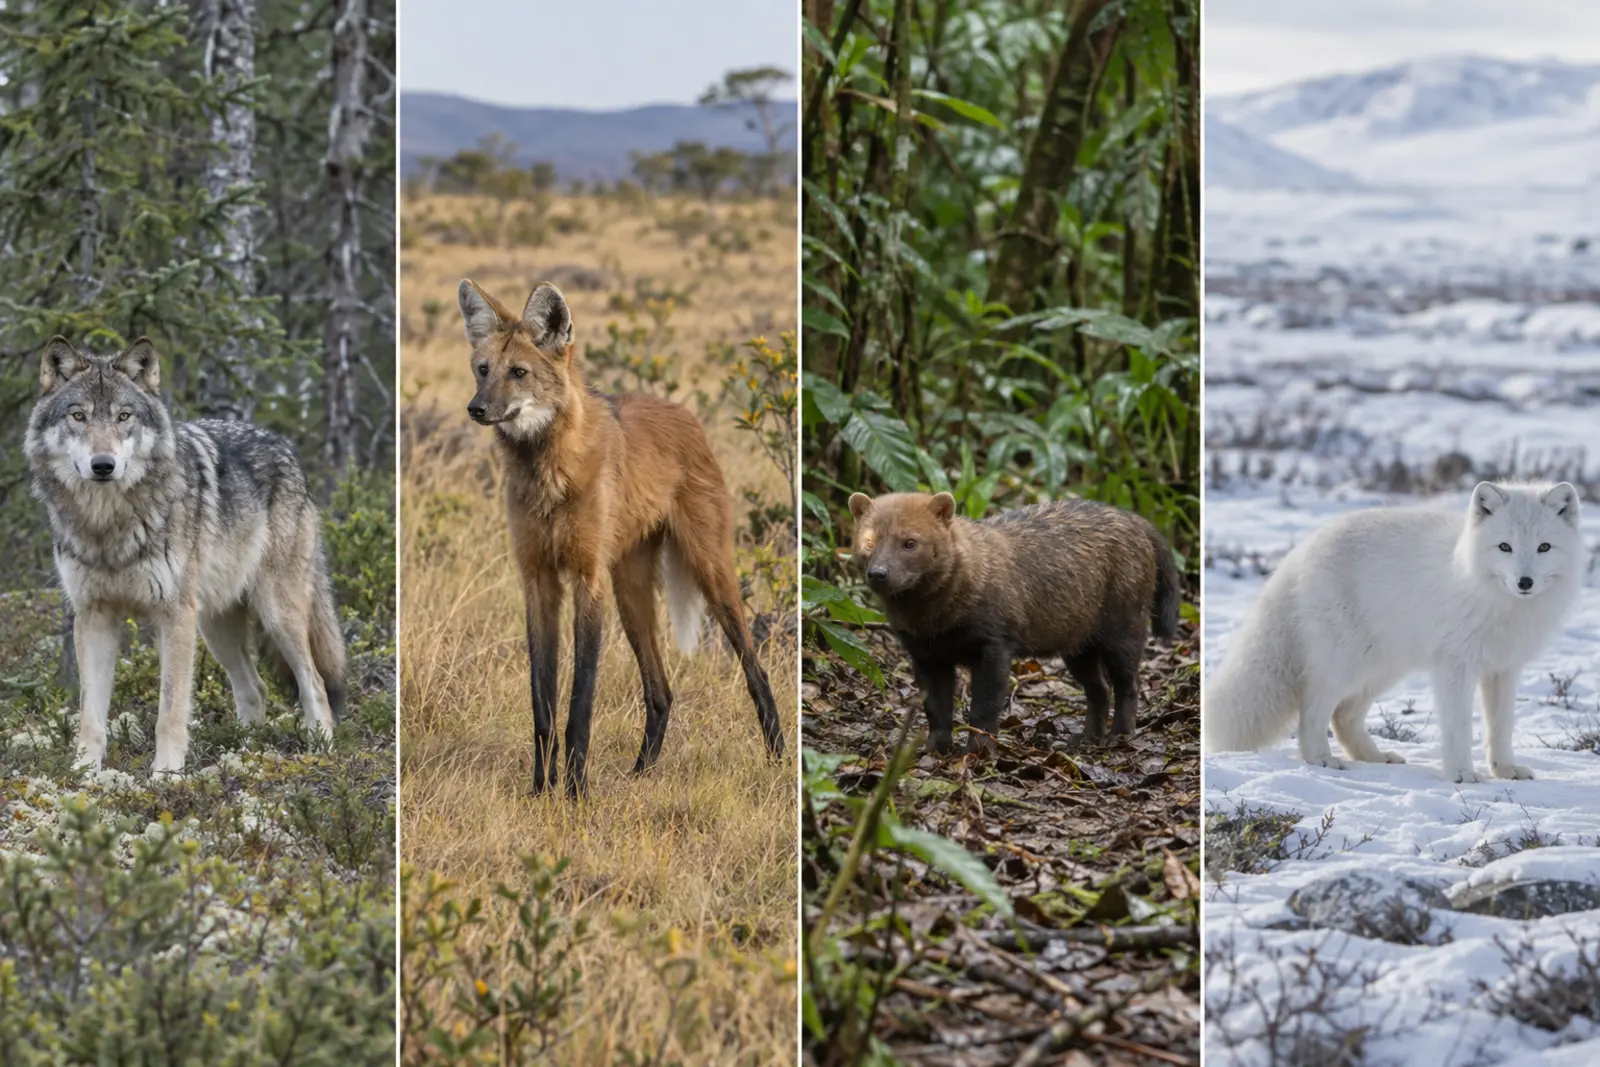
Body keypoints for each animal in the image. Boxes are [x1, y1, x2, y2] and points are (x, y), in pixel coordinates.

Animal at [24, 336, 345, 775]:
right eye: (78, 416)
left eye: (124, 416)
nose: (103, 465)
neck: (108, 524)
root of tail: (285, 445)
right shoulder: (94, 616)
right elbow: (91, 713)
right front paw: (83, 773)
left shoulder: (173, 614)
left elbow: (170, 710)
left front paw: (166, 774)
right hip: (213, 626)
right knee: (255, 688)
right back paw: (242, 754)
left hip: (275, 614)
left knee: (314, 682)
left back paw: (319, 751)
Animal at [457, 278, 783, 797]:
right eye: (483, 370)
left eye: (519, 373)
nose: (476, 408)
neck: (548, 471)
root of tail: (685, 413)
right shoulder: (538, 580)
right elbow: (543, 707)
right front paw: (540, 792)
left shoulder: (587, 577)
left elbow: (579, 705)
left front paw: (575, 795)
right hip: (630, 591)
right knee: (661, 690)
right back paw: (641, 774)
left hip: (708, 572)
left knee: (756, 669)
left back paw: (777, 760)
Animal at [847, 491, 1181, 752]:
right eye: (868, 540)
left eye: (910, 542)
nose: (878, 573)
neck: (936, 620)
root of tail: (1138, 521)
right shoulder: (925, 654)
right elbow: (936, 707)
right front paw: (933, 748)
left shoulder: (995, 644)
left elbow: (985, 704)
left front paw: (979, 749)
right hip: (1078, 644)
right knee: (1098, 689)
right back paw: (1085, 737)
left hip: (1123, 628)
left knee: (1128, 683)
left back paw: (1119, 735)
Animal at [1203, 482, 1583, 782]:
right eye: (1505, 547)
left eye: (1544, 547)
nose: (1525, 582)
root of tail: (1301, 550)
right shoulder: (1455, 665)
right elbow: (1459, 726)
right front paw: (1461, 773)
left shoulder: (1504, 669)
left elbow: (1502, 726)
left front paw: (1505, 769)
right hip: (1349, 662)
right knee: (1312, 708)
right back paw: (1321, 759)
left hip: (1383, 667)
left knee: (1343, 716)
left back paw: (1373, 757)